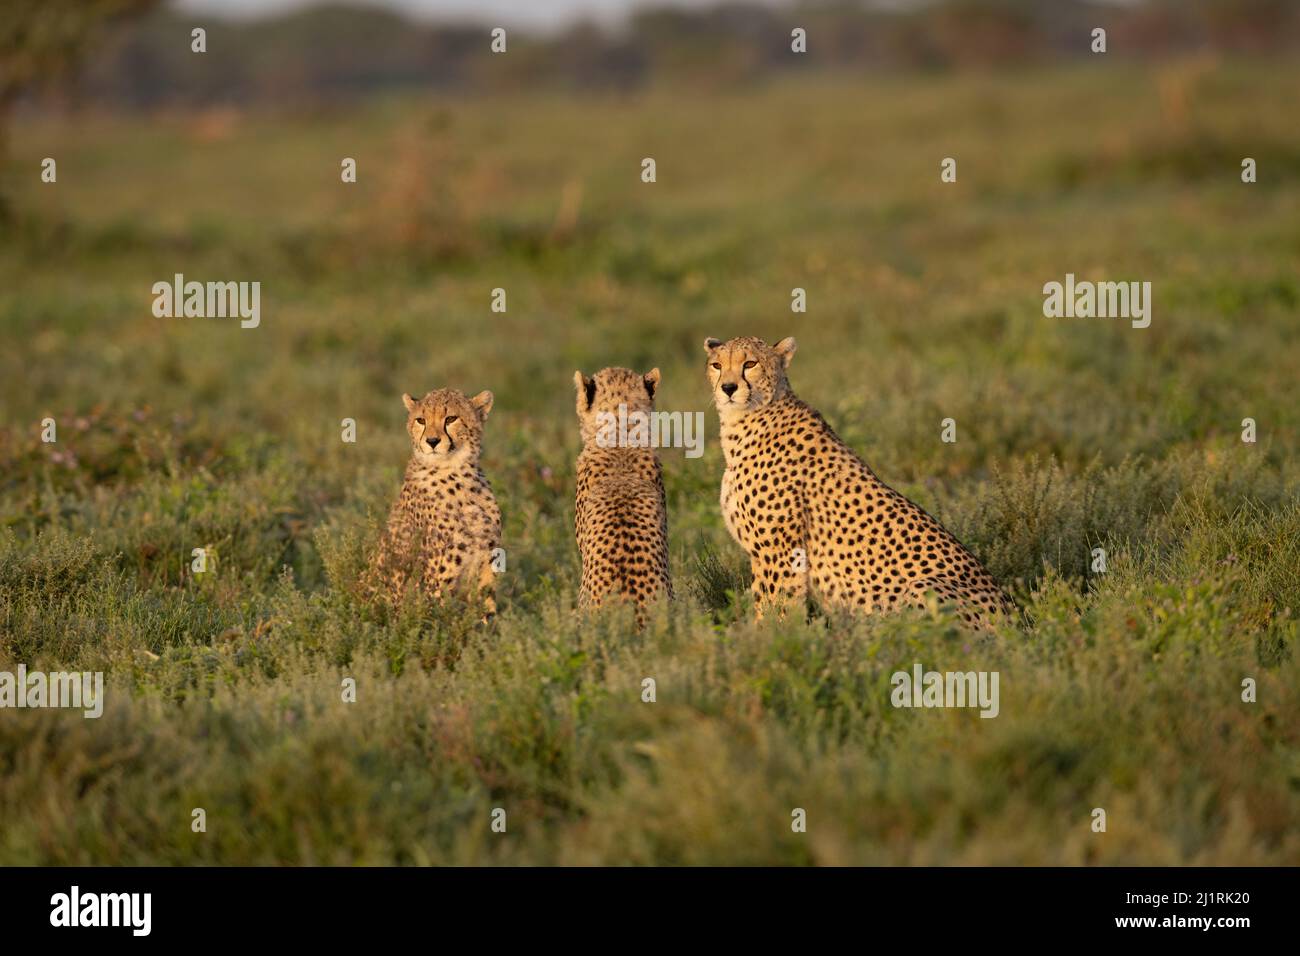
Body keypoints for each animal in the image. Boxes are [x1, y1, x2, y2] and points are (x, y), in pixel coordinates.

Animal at [369, 387, 504, 616]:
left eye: (450, 419)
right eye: (421, 420)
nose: (432, 441)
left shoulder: (488, 563)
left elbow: (488, 612)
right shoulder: (439, 581)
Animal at [707, 335, 1008, 629]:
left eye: (750, 363)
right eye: (717, 366)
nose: (729, 388)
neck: (744, 422)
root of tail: (1012, 615)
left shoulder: (780, 551)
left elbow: (776, 608)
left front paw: (767, 638)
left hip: (922, 586)